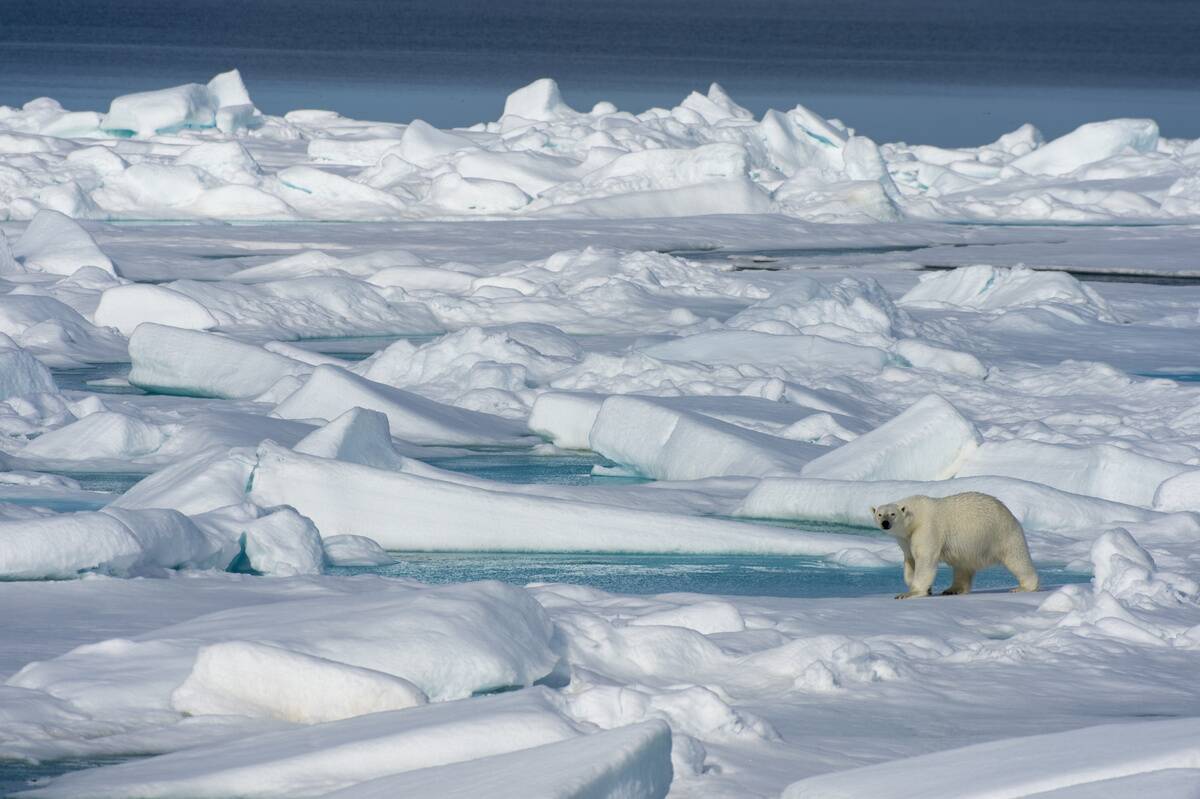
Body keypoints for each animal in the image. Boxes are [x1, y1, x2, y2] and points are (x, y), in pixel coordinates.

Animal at [871, 492, 1039, 599]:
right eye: (879, 514)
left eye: (892, 514)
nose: (885, 523)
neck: (914, 517)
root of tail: (1010, 514)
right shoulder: (905, 538)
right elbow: (910, 560)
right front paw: (927, 589)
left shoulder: (927, 528)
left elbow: (925, 559)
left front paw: (908, 594)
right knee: (962, 566)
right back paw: (952, 590)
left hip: (1001, 534)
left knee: (1017, 559)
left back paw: (1023, 587)